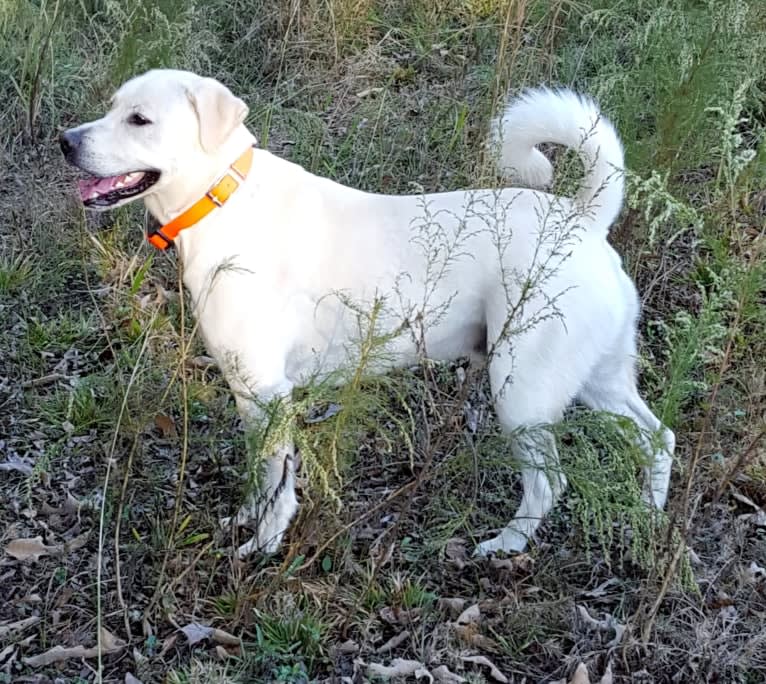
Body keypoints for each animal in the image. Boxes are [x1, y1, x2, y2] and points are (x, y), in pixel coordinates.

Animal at [60, 69, 676, 560]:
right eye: (112, 107)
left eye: (139, 120)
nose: (65, 141)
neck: (222, 199)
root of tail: (584, 220)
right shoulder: (254, 397)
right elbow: (261, 479)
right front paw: (247, 520)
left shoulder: (267, 394)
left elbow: (276, 484)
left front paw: (263, 545)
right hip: (599, 381)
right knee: (658, 438)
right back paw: (648, 518)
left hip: (521, 391)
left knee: (550, 482)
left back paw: (505, 545)